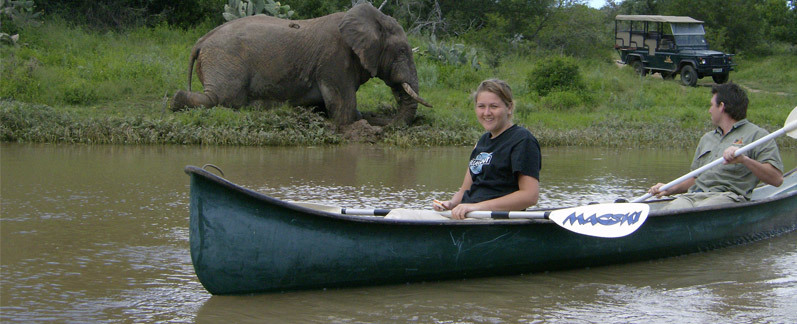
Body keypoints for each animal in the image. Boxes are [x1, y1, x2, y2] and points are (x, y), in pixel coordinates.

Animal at [169, 2, 430, 126]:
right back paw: (175, 101)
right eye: (402, 51)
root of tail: (201, 40)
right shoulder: (334, 59)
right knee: (222, 98)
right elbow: (343, 110)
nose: (385, 124)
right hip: (225, 59)